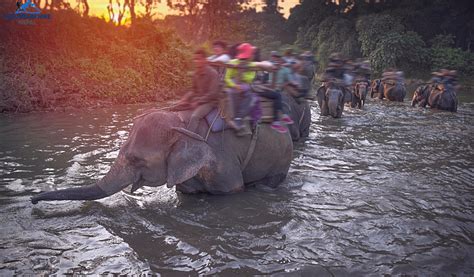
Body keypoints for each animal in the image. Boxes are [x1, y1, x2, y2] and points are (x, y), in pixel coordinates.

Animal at [31, 107, 294, 203]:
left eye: (136, 159)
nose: (33, 200)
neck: (184, 124)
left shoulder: (222, 164)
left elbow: (233, 191)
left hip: (281, 158)